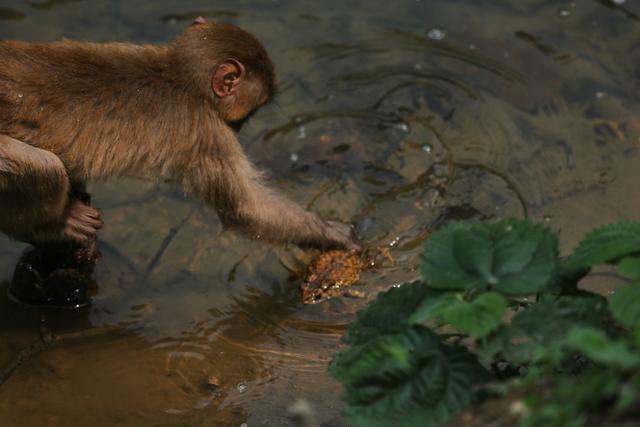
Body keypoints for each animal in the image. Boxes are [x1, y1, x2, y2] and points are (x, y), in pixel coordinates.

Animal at [0, 18, 360, 254]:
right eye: (250, 113)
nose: (238, 128)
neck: (178, 76)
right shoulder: (208, 132)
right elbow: (246, 210)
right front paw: (333, 232)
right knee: (42, 166)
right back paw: (50, 228)